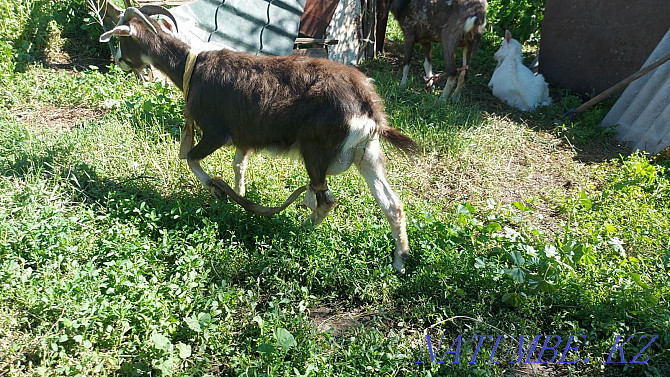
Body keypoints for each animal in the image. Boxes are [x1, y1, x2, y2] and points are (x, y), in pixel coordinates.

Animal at [98, 7, 420, 272]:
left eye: (120, 38)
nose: (118, 62)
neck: (190, 67)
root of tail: (368, 106)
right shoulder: (245, 136)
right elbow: (238, 165)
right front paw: (238, 195)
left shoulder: (216, 131)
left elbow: (190, 158)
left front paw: (215, 189)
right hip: (368, 154)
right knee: (392, 205)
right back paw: (400, 261)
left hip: (316, 149)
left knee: (326, 200)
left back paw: (300, 229)